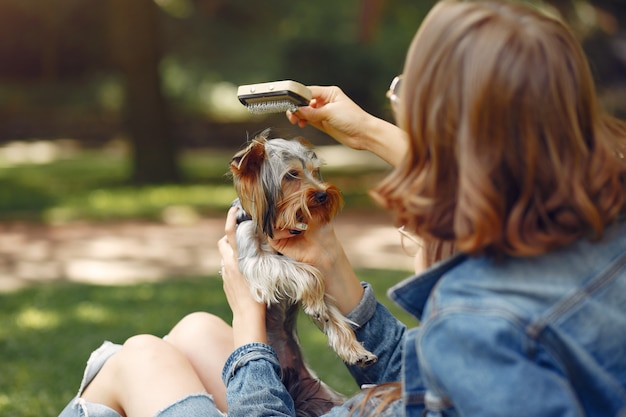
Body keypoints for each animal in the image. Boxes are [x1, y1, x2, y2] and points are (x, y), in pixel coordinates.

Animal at [229, 131, 376, 412]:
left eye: (314, 171)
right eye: (291, 175)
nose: (322, 195)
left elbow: (329, 308)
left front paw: (353, 348)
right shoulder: (255, 262)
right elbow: (310, 275)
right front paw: (317, 306)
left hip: (324, 395)